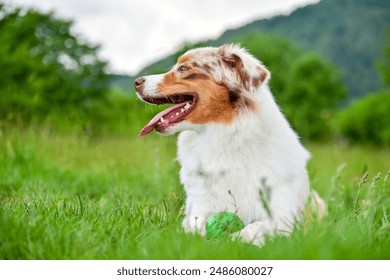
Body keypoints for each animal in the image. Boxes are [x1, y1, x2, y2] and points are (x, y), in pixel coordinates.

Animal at [134, 43, 322, 245]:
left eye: (183, 68)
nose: (136, 82)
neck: (221, 138)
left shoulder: (283, 216)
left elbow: (252, 228)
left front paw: (229, 239)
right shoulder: (199, 205)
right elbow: (195, 226)